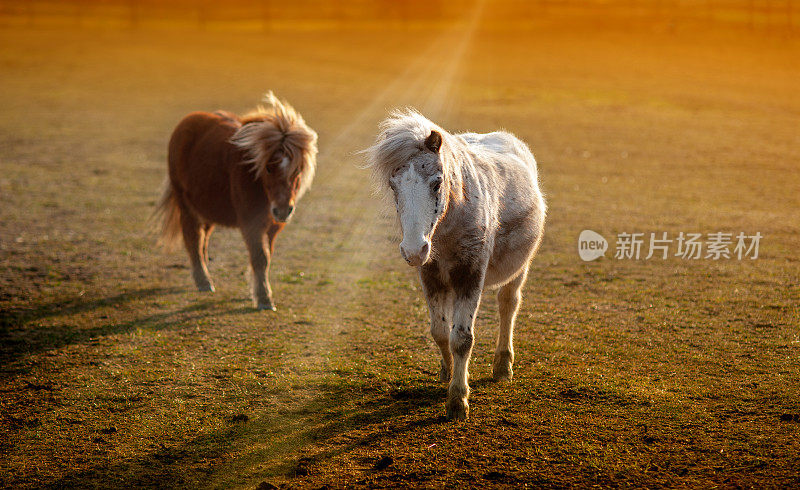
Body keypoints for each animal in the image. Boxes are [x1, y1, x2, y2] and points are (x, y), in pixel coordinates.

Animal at [155, 93, 318, 310]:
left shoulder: (273, 227)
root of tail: (187, 121)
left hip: (207, 208)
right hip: (186, 204)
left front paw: (256, 290)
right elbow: (260, 257)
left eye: (298, 169)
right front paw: (264, 298)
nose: (283, 210)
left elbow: (266, 256)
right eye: (268, 167)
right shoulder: (251, 223)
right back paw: (203, 281)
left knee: (203, 240)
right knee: (193, 239)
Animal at [368, 111, 544, 422]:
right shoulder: (431, 275)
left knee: (508, 305)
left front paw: (458, 400)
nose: (413, 250)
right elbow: (440, 332)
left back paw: (503, 367)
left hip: (519, 268)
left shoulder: (469, 275)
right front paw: (447, 373)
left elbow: (462, 338)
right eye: (393, 184)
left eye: (437, 182)